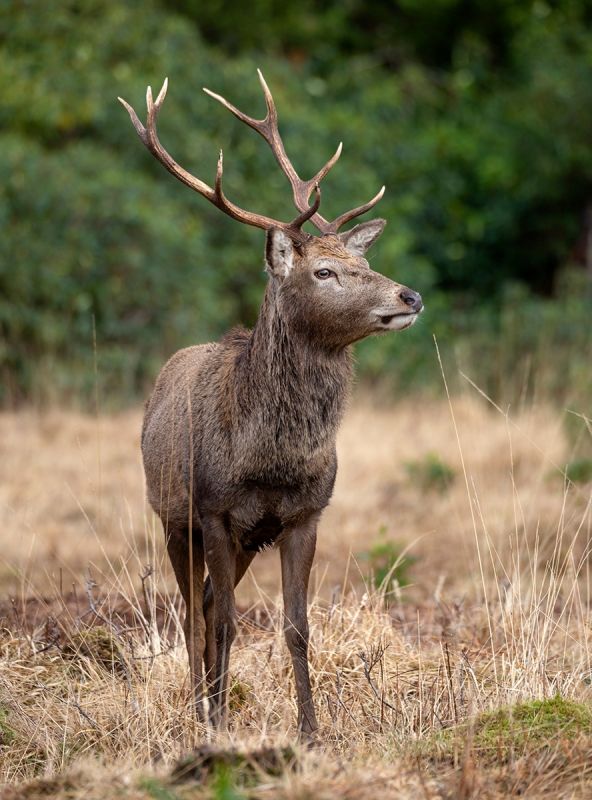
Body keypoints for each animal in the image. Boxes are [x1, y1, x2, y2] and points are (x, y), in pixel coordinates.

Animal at [118, 70, 423, 737]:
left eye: (364, 259)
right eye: (325, 272)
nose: (409, 295)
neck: (270, 457)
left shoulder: (304, 515)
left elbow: (297, 627)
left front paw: (310, 729)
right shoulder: (213, 511)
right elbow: (227, 622)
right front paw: (218, 724)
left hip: (245, 540)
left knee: (209, 602)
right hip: (172, 516)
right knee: (194, 612)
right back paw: (200, 708)